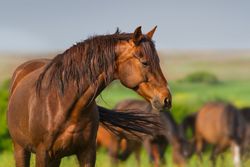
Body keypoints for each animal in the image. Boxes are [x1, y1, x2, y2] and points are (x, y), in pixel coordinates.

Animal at [7, 26, 172, 166]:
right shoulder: (43, 154)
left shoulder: (87, 153)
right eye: (145, 62)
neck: (62, 103)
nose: (166, 99)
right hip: (20, 149)